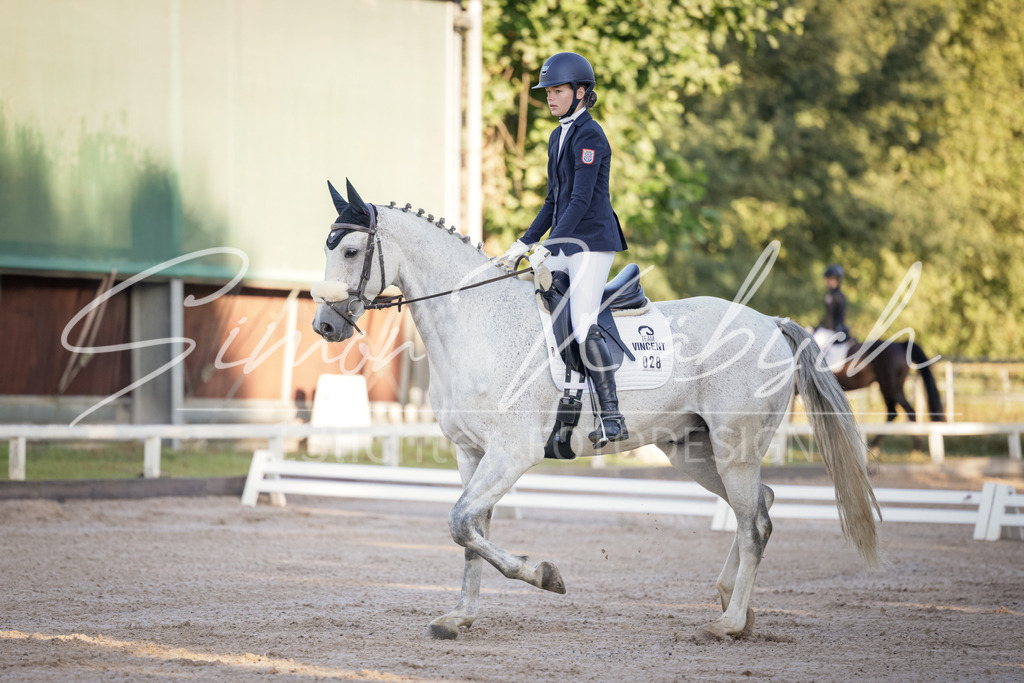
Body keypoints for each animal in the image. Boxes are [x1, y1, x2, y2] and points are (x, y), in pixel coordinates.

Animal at [311, 180, 880, 642]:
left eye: (353, 250)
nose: (325, 327)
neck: (476, 321)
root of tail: (768, 323)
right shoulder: (470, 452)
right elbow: (472, 532)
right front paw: (460, 618)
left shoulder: (511, 452)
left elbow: (461, 522)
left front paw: (545, 575)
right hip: (694, 451)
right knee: (758, 508)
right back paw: (728, 602)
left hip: (734, 449)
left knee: (754, 523)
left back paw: (728, 624)